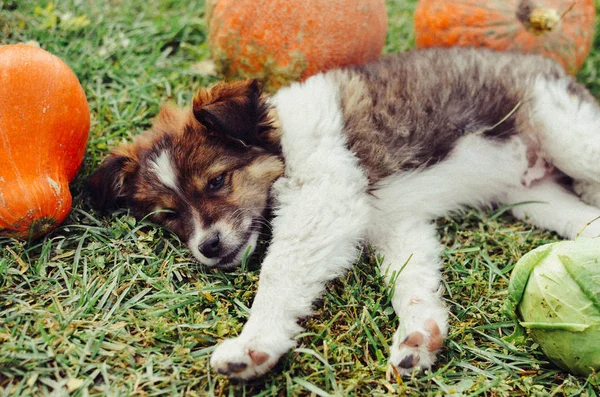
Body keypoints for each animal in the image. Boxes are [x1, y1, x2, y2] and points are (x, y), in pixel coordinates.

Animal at [88, 46, 600, 378]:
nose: (208, 248)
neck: (285, 149)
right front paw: (420, 335)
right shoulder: (393, 221)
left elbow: (280, 272)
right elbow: (410, 280)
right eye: (169, 215)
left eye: (217, 181)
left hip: (568, 136)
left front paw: (255, 343)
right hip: (533, 199)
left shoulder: (326, 202)